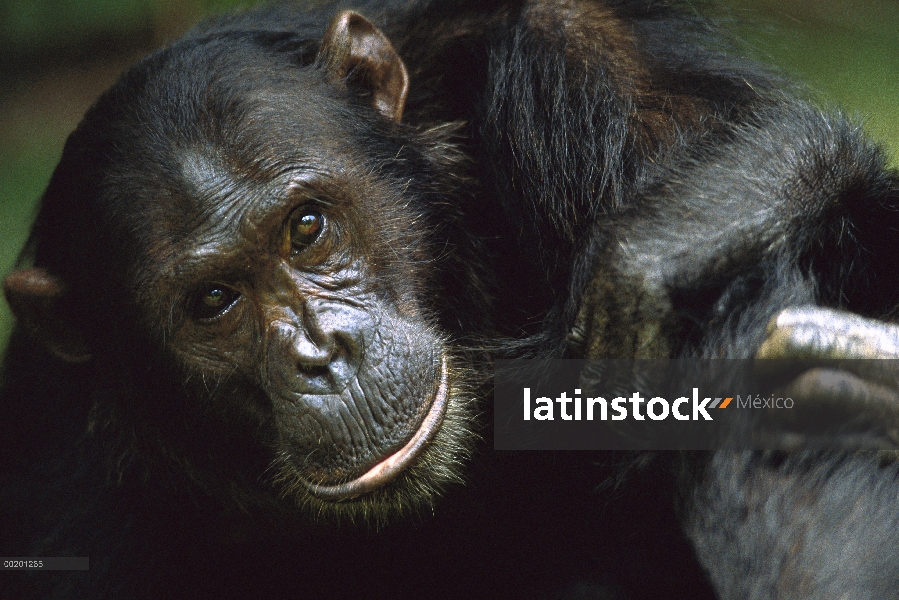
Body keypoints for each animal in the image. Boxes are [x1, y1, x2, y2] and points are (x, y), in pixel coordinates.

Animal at [5, 1, 899, 600]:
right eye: (214, 300)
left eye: (306, 227)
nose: (321, 355)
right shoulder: (56, 470)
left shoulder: (585, 76)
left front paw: (698, 219)